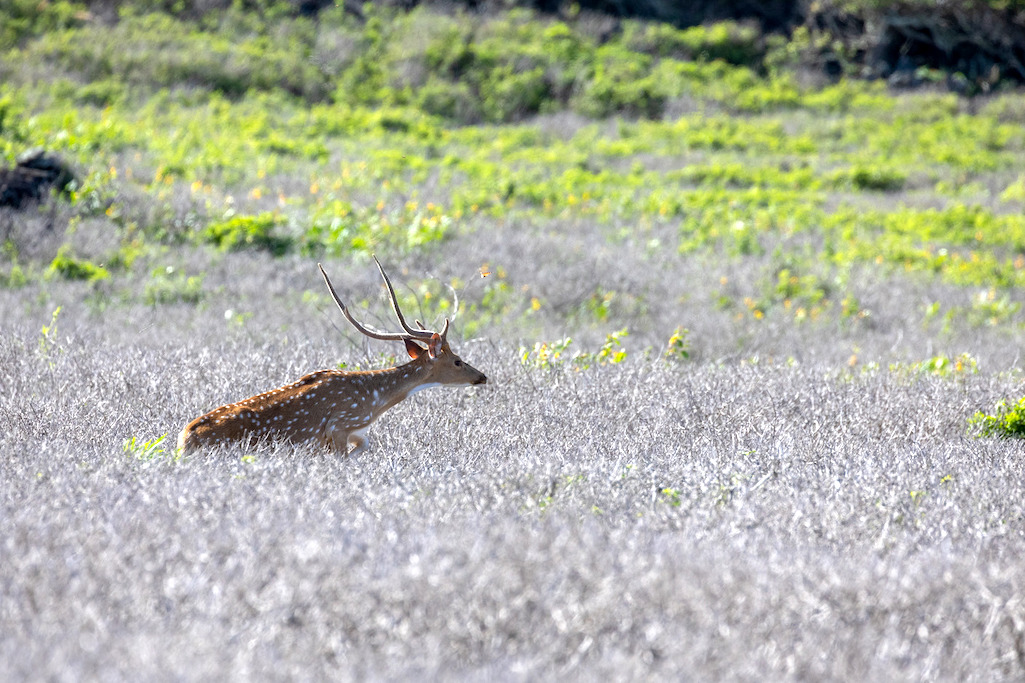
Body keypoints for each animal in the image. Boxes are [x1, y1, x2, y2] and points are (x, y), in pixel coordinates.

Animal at [177, 257, 487, 456]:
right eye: (457, 360)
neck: (374, 401)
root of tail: (184, 442)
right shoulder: (340, 425)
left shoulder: (356, 432)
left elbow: (364, 446)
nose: (482, 377)